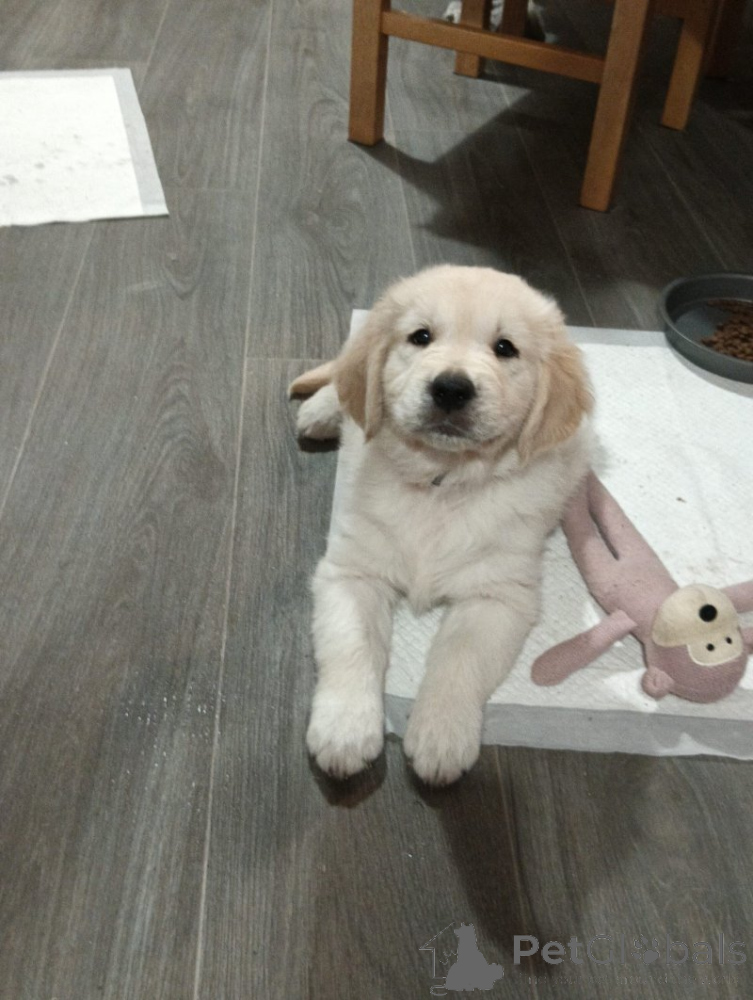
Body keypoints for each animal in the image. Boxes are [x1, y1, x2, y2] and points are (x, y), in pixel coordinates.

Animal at [290, 265, 593, 785]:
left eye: (505, 347)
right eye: (421, 336)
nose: (451, 388)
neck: (442, 482)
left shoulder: (498, 593)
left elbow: (459, 659)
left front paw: (441, 736)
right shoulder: (352, 571)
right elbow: (352, 646)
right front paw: (345, 728)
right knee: (345, 381)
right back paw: (321, 410)